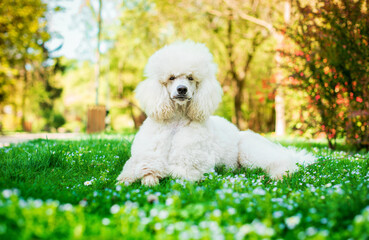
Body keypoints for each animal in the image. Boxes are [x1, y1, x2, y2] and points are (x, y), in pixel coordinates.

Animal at [117, 40, 314, 187]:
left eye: (190, 78)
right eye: (171, 78)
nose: (182, 90)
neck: (176, 123)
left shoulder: (194, 165)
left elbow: (176, 172)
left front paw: (153, 175)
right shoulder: (144, 155)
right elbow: (133, 169)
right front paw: (136, 178)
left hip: (249, 149)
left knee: (282, 163)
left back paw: (278, 175)